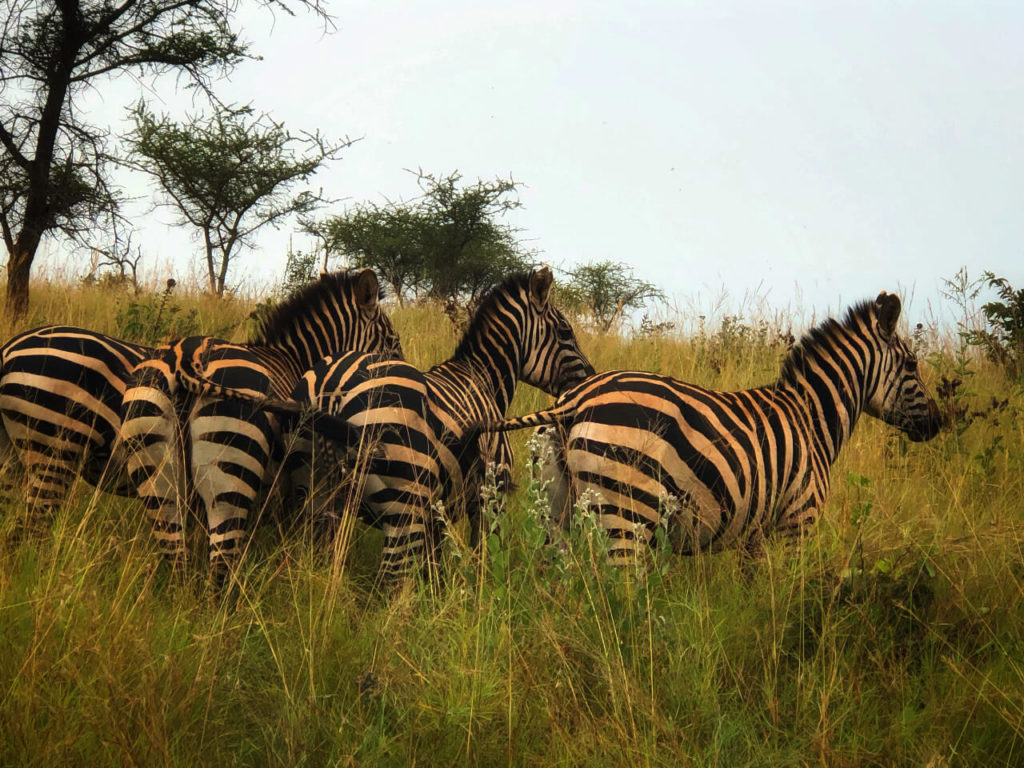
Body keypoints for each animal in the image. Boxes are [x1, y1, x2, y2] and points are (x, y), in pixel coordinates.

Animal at [117, 270, 401, 577]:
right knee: (220, 564)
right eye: (392, 343)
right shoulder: (298, 478)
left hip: (157, 475)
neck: (296, 360)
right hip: (230, 472)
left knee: (178, 562)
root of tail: (185, 359)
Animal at [479, 290, 942, 561]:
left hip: (555, 512)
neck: (812, 420)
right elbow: (787, 604)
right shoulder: (798, 521)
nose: (938, 423)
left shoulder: (757, 534)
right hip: (628, 513)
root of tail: (574, 400)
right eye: (912, 365)